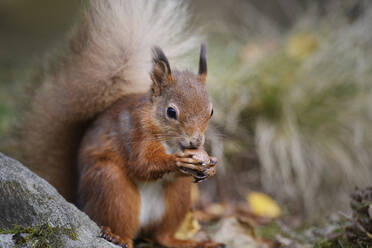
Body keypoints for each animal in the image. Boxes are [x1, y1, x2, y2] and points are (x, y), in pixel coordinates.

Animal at [16, 0, 222, 248]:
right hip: (111, 187)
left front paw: (211, 165)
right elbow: (143, 164)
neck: (169, 140)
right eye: (171, 112)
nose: (195, 141)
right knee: (120, 221)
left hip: (178, 195)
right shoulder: (134, 134)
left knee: (161, 235)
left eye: (211, 111)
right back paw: (117, 236)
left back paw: (186, 241)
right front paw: (175, 161)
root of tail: (79, 202)